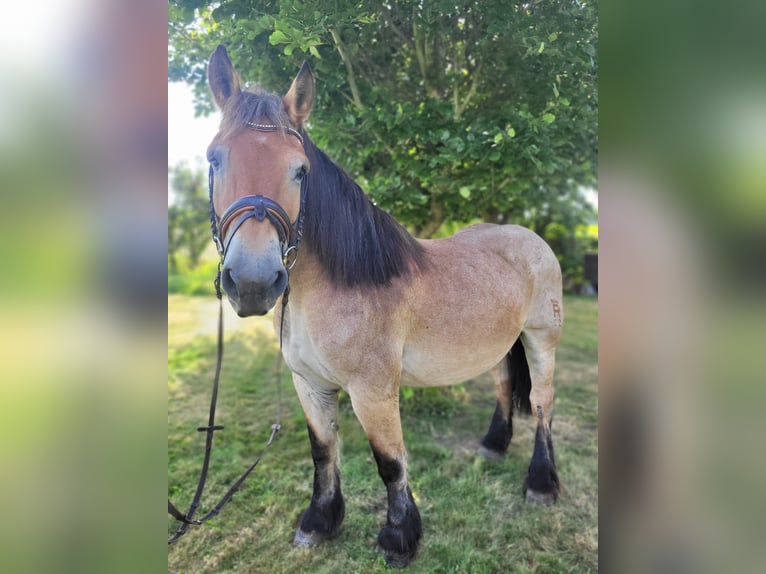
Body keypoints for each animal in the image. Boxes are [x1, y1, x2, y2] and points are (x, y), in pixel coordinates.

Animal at [204, 47, 564, 568]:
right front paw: (320, 522)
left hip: (541, 340)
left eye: (300, 170)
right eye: (214, 158)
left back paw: (541, 484)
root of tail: (529, 236)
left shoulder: (372, 391)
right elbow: (323, 450)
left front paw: (399, 537)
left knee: (541, 405)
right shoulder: (308, 383)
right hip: (501, 344)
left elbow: (390, 461)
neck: (341, 284)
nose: (252, 281)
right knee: (503, 387)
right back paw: (492, 448)